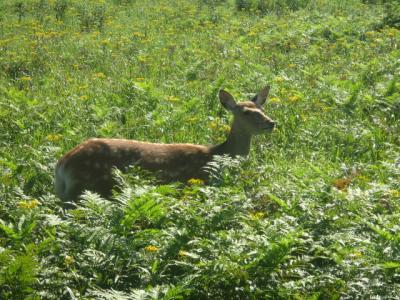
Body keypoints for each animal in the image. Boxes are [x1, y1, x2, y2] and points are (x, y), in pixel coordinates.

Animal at [55, 86, 276, 204]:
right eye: (246, 112)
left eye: (262, 108)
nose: (271, 123)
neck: (218, 157)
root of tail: (62, 165)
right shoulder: (195, 184)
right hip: (89, 188)